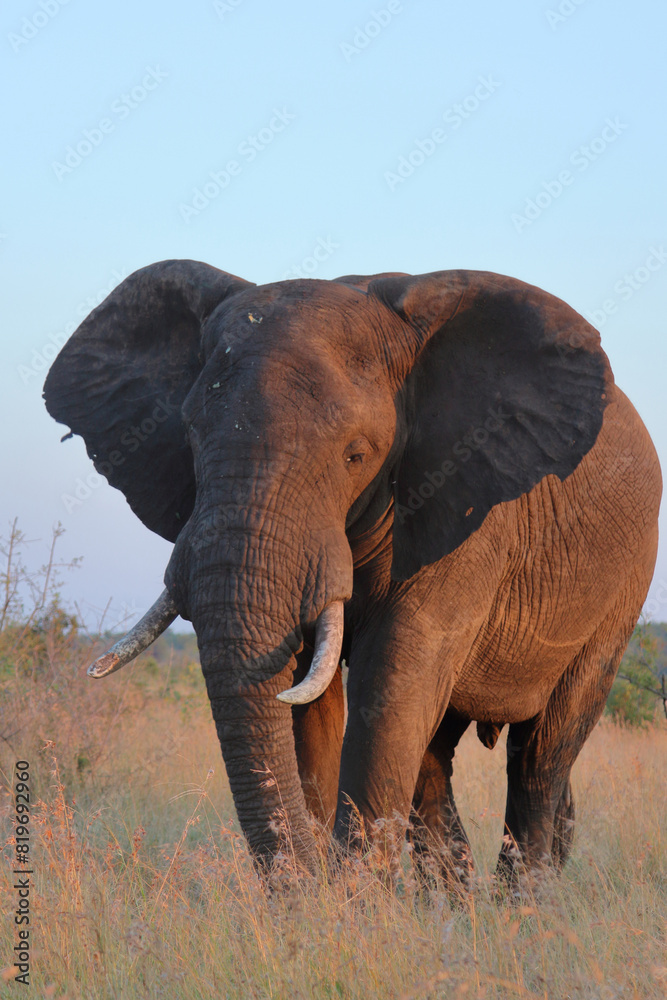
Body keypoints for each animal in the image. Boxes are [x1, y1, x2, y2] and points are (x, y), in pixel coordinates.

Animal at [43, 261, 661, 883]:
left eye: (356, 455)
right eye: (191, 437)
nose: (308, 880)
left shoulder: (470, 509)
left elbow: (392, 680)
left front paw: (352, 897)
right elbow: (308, 695)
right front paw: (334, 894)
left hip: (625, 582)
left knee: (541, 754)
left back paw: (524, 902)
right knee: (435, 759)